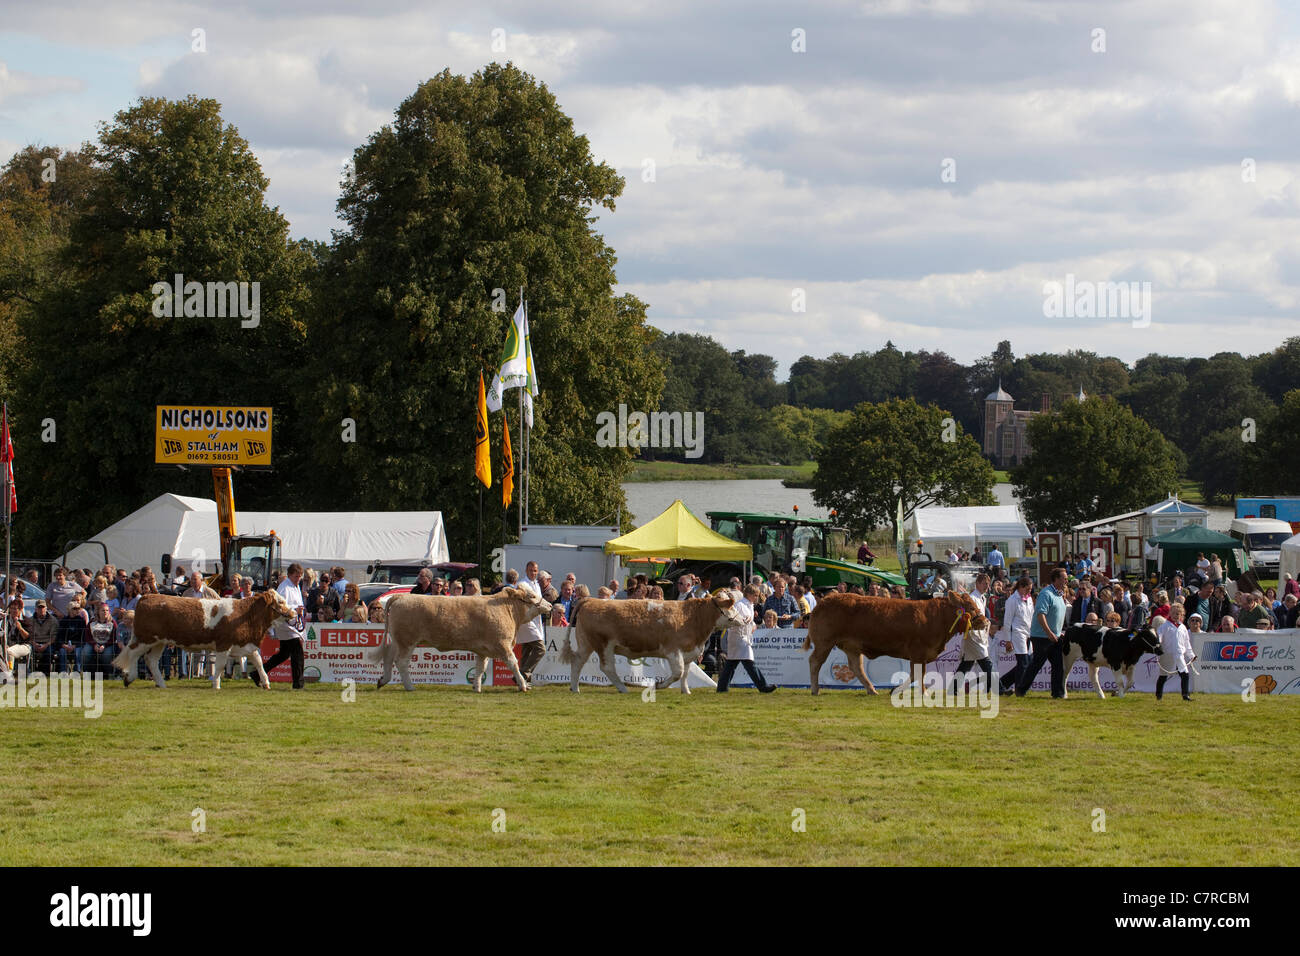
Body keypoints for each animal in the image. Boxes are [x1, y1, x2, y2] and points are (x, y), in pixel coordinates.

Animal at [111, 590, 295, 686]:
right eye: (280, 601)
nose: (293, 612)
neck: (244, 614)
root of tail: (147, 596)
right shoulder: (223, 645)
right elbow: (220, 666)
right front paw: (216, 685)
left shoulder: (245, 644)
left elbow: (258, 661)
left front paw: (265, 682)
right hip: (146, 638)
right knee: (134, 653)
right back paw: (129, 677)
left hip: (160, 642)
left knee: (151, 660)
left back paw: (161, 684)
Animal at [379, 587, 553, 691]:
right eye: (532, 595)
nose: (551, 605)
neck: (506, 609)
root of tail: (401, 596)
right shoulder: (503, 644)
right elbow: (513, 663)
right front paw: (522, 685)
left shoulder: (484, 650)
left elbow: (480, 668)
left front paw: (477, 687)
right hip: (407, 641)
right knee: (401, 662)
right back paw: (409, 686)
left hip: (397, 641)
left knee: (388, 658)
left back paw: (383, 680)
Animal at [556, 590, 743, 697]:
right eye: (731, 607)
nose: (744, 619)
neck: (692, 617)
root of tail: (591, 600)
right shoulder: (673, 650)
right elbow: (678, 672)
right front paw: (658, 685)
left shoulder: (689, 652)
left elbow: (685, 674)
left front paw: (686, 691)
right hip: (604, 645)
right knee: (607, 667)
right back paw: (623, 688)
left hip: (586, 643)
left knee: (577, 661)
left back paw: (575, 688)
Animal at [795, 590, 987, 697]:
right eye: (970, 607)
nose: (985, 621)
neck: (936, 617)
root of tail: (823, 602)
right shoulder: (918, 653)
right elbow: (918, 674)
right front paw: (922, 692)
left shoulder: (920, 655)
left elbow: (915, 674)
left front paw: (896, 690)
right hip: (824, 642)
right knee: (815, 662)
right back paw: (815, 689)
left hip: (852, 647)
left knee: (857, 667)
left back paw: (871, 689)